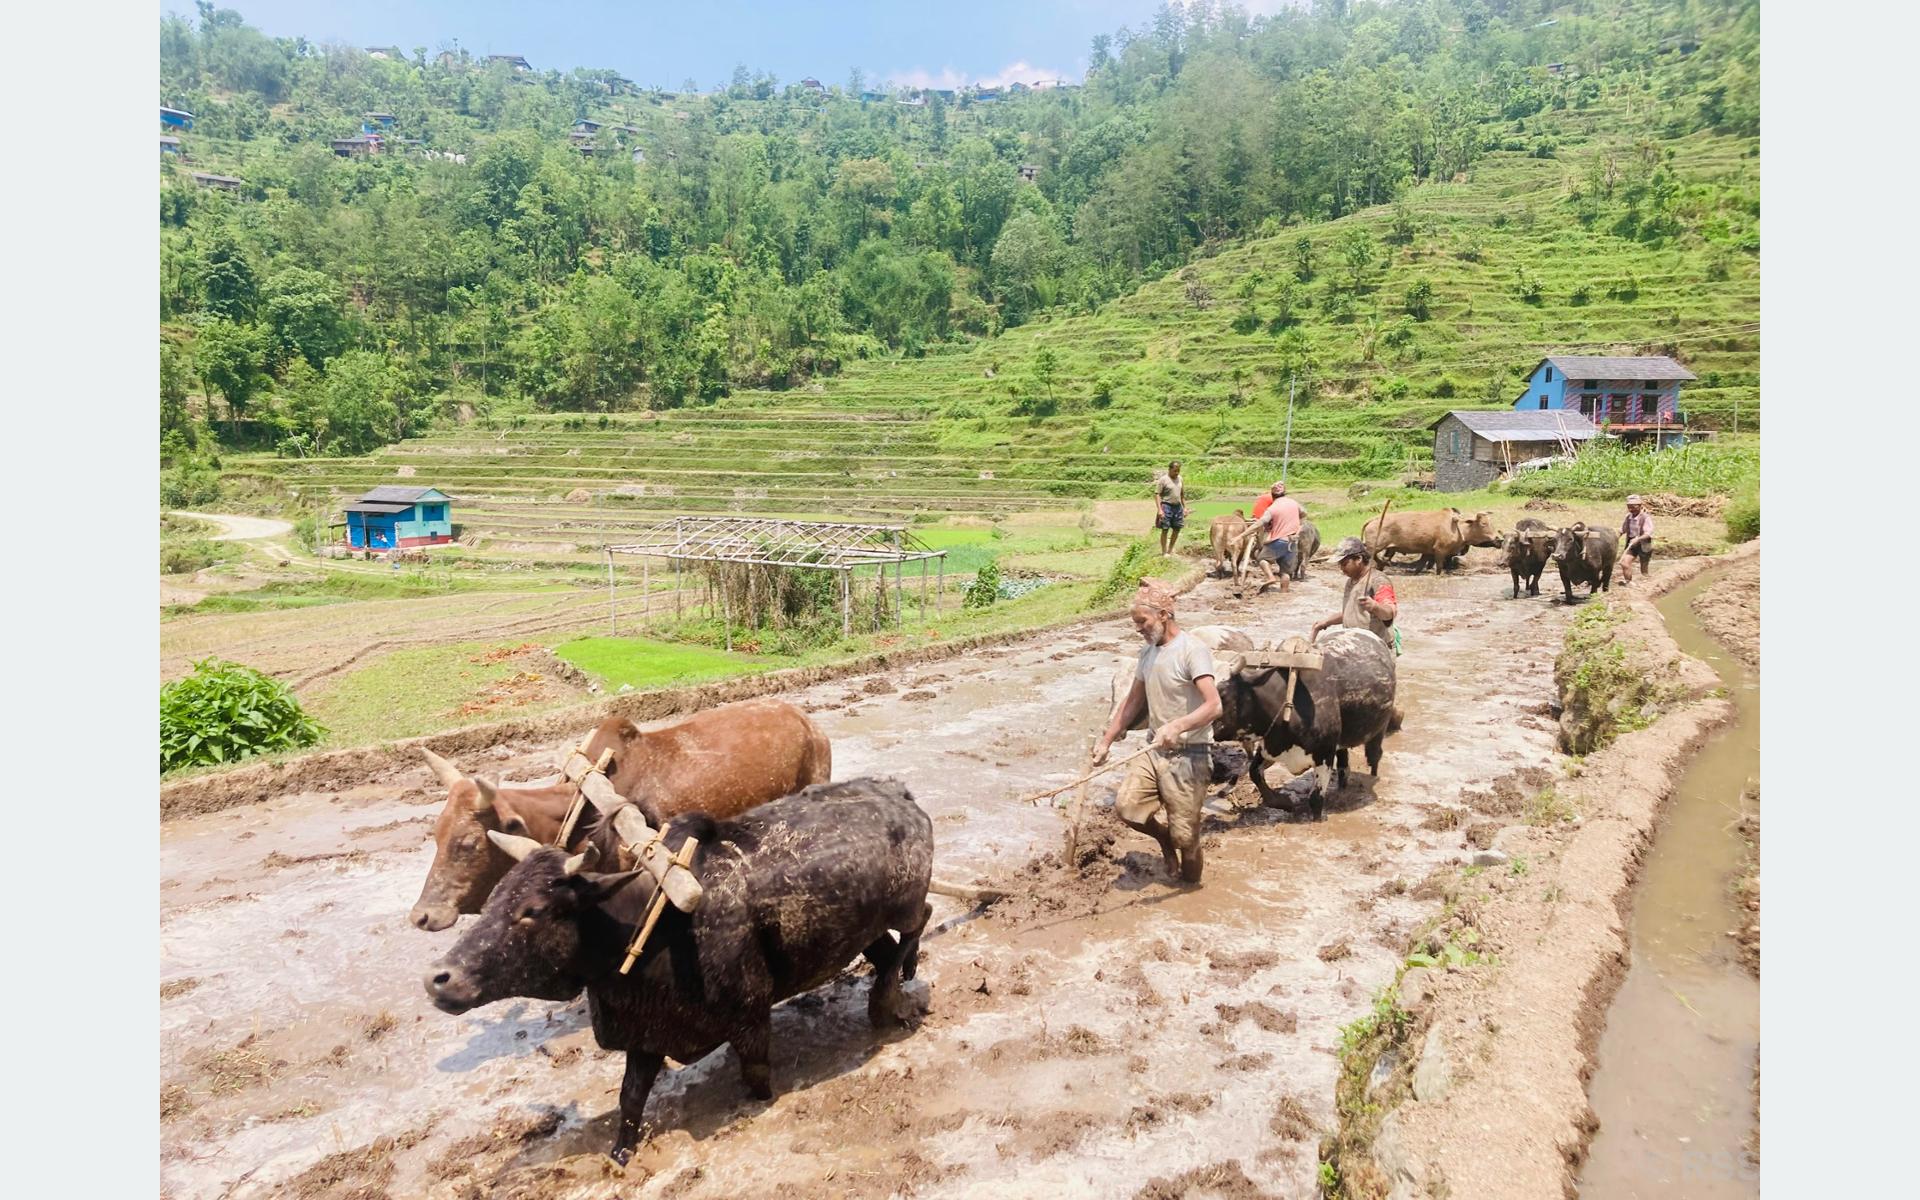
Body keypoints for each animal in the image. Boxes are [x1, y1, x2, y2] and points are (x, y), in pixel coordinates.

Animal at [424, 775, 933, 1159]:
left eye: (532, 910)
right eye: (494, 898)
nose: (438, 978)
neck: (652, 925)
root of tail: (899, 791)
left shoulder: (750, 1018)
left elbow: (757, 1080)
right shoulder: (646, 1037)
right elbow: (630, 1100)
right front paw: (620, 1154)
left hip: (905, 906)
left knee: (919, 923)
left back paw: (891, 997)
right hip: (867, 928)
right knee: (888, 950)